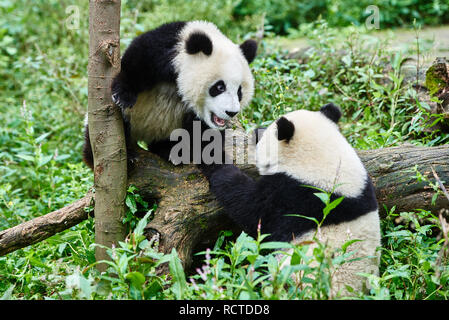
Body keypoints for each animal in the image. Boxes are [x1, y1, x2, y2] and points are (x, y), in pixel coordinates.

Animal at [82, 21, 258, 169]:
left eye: (239, 91)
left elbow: (202, 132)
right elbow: (136, 62)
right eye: (219, 87)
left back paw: (170, 150)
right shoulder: (165, 48)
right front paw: (123, 96)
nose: (231, 112)